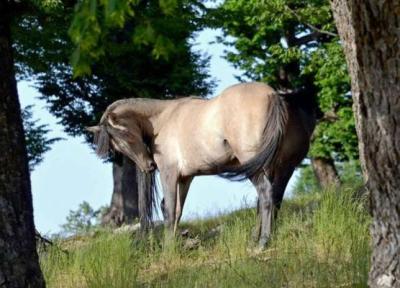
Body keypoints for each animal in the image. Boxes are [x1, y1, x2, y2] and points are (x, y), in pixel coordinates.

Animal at [87, 82, 316, 246]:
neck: (163, 118)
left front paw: (168, 250)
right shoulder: (185, 178)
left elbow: (169, 211)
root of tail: (272, 96)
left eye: (126, 135)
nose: (148, 166)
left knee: (266, 195)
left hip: (258, 167)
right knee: (272, 198)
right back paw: (260, 238)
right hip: (282, 168)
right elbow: (177, 211)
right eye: (117, 146)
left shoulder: (169, 174)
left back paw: (263, 242)